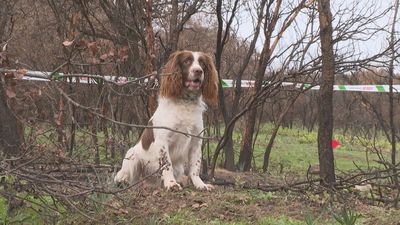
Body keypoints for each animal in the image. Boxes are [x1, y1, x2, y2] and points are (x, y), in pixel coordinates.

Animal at [114, 50, 217, 190]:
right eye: (187, 61)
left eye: (202, 63)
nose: (198, 71)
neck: (186, 102)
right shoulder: (163, 140)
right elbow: (167, 165)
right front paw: (171, 184)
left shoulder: (196, 141)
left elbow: (195, 166)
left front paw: (200, 184)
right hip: (132, 155)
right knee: (128, 179)